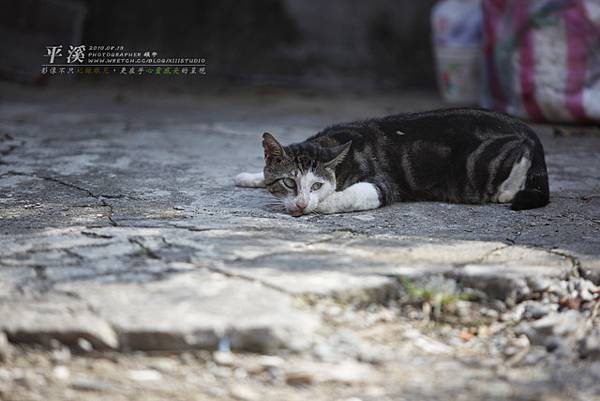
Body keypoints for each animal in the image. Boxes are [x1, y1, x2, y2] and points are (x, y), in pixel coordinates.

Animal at [233, 107, 548, 216]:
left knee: (521, 155)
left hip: (482, 164)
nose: (300, 203)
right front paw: (249, 176)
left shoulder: (381, 183)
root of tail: (525, 127)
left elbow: (348, 196)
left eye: (316, 186)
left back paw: (507, 190)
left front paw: (319, 204)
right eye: (289, 182)